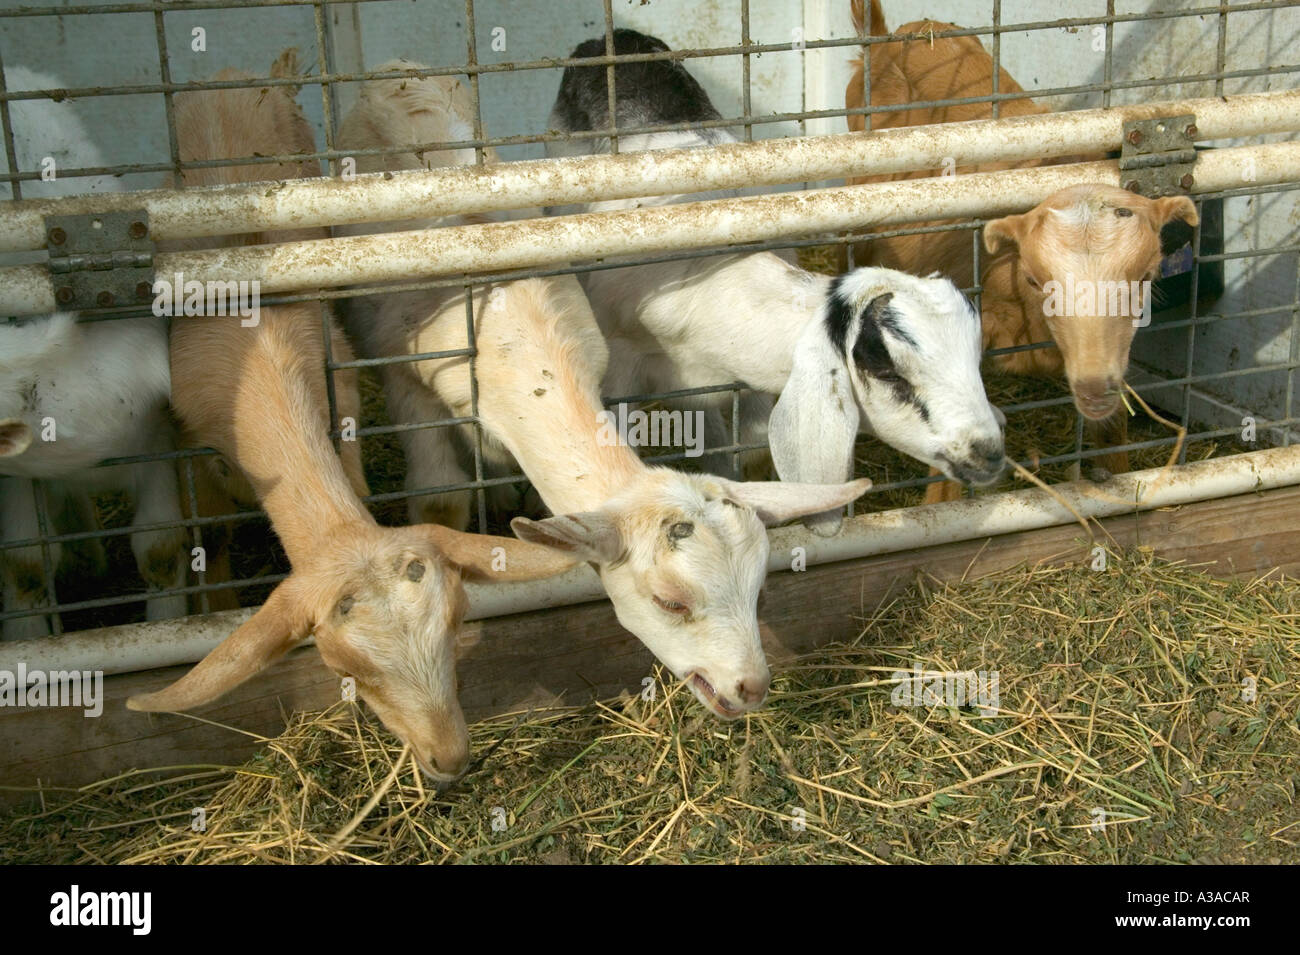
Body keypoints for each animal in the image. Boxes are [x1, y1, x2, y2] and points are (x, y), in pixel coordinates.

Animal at [124, 59, 575, 783]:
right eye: (346, 666)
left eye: (455, 623)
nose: (449, 758)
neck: (257, 345)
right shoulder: (183, 436)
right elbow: (198, 538)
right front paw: (212, 607)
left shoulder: (339, 396)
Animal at [336, 70, 871, 718]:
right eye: (669, 601)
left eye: (759, 587)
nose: (751, 687)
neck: (511, 330)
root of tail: (402, 70)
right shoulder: (407, 381)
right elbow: (441, 503)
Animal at [546, 29, 1005, 531]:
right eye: (887, 372)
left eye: (975, 355)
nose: (989, 452)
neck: (701, 281)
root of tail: (613, 37)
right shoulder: (622, 375)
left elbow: (745, 449)